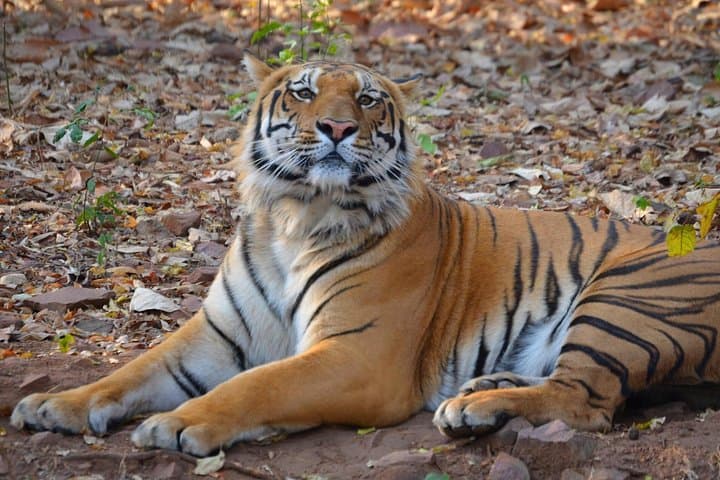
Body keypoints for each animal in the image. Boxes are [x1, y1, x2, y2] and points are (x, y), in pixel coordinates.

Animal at [11, 54, 720, 457]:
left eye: (369, 98)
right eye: (302, 92)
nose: (337, 127)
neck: (295, 216)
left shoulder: (357, 355)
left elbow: (259, 383)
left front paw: (182, 425)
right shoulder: (213, 335)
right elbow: (129, 371)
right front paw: (53, 408)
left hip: (627, 293)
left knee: (588, 401)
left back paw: (473, 409)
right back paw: (486, 389)